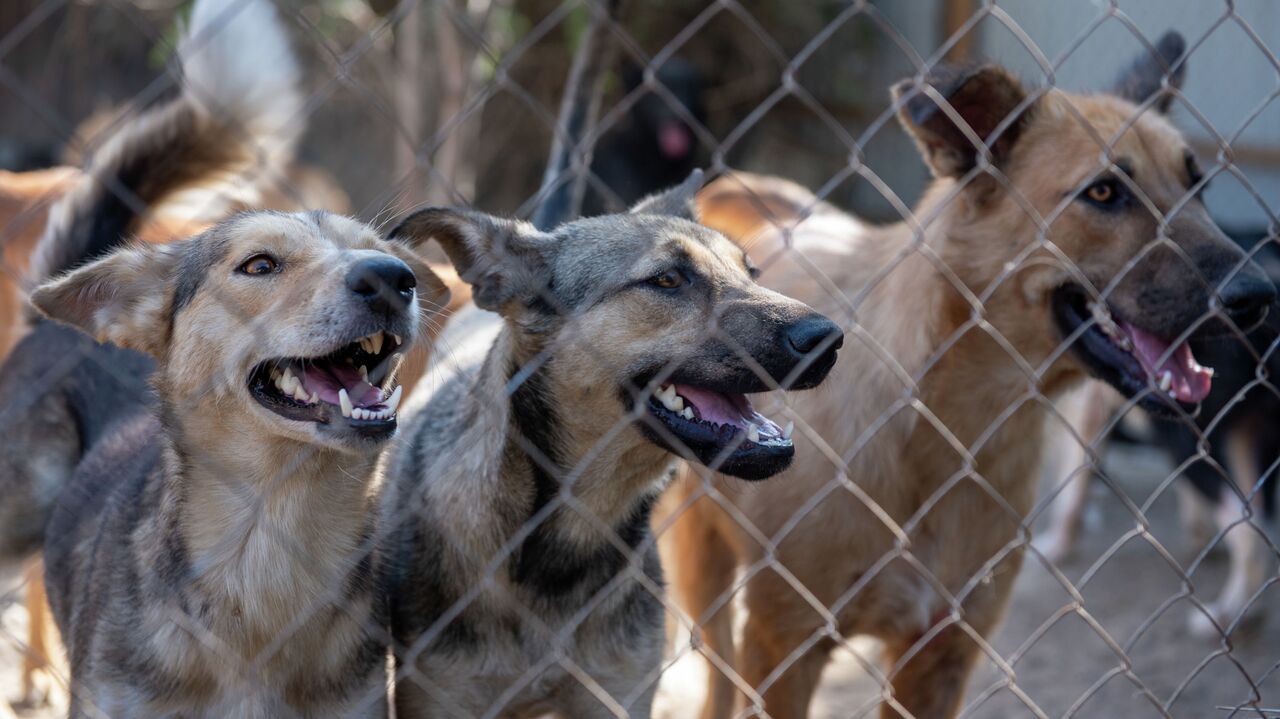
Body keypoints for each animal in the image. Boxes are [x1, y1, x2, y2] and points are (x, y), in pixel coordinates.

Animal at [373, 168, 844, 716]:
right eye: (668, 279)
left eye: (752, 272)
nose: (830, 338)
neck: (575, 536)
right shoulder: (442, 695)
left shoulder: (621, 692)